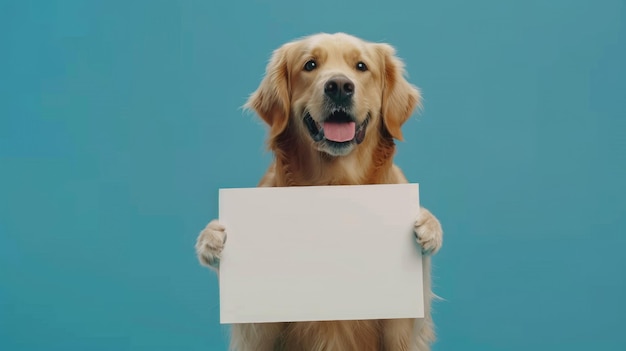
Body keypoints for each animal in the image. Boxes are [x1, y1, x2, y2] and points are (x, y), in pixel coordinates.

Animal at [197, 32, 442, 350]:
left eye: (361, 66)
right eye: (310, 64)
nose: (339, 86)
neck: (334, 182)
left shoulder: (400, 328)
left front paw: (428, 228)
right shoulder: (260, 333)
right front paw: (212, 240)